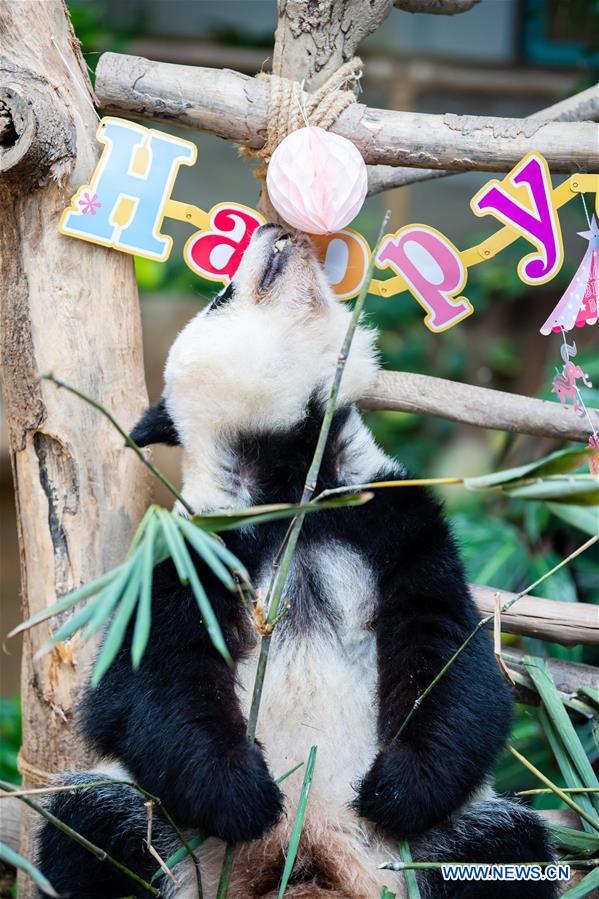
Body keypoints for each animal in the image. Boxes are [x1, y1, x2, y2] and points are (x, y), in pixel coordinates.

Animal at [37, 223, 555, 899]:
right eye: (221, 296)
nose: (276, 229)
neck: (292, 473)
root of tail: (305, 858)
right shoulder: (197, 544)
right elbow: (148, 677)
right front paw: (241, 795)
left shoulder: (394, 522)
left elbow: (451, 657)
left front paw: (397, 790)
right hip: (165, 833)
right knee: (91, 832)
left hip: (433, 848)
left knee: (503, 847)